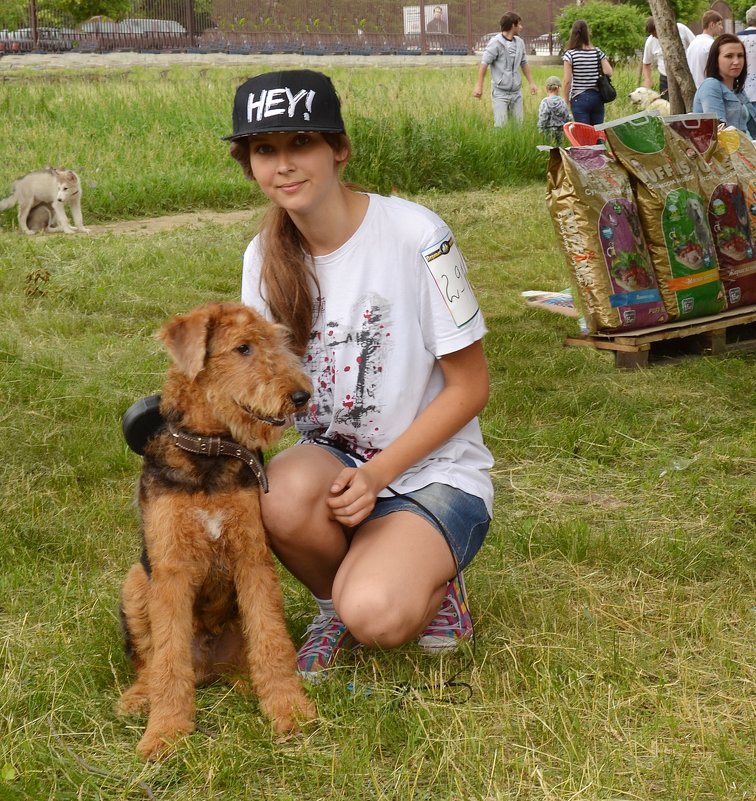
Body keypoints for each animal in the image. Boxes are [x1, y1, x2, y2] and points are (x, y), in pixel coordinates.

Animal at [117, 300, 316, 756]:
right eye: (242, 348)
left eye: (277, 341)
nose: (301, 395)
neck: (209, 451)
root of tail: (207, 668)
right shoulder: (171, 569)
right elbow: (168, 661)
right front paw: (165, 732)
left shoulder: (251, 557)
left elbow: (272, 641)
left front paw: (289, 709)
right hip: (136, 580)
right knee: (149, 661)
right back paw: (139, 698)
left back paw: (247, 683)